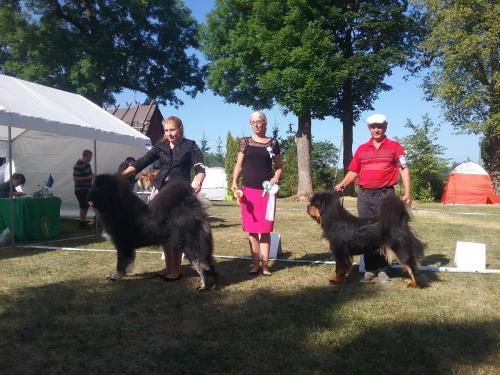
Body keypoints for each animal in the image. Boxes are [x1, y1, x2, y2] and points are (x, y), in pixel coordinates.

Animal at [88, 174, 217, 290]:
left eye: (98, 187)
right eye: (93, 185)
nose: (88, 193)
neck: (116, 205)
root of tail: (195, 210)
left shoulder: (122, 245)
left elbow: (121, 263)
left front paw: (116, 276)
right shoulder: (127, 246)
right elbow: (127, 263)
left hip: (192, 246)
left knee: (202, 265)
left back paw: (204, 286)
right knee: (209, 264)